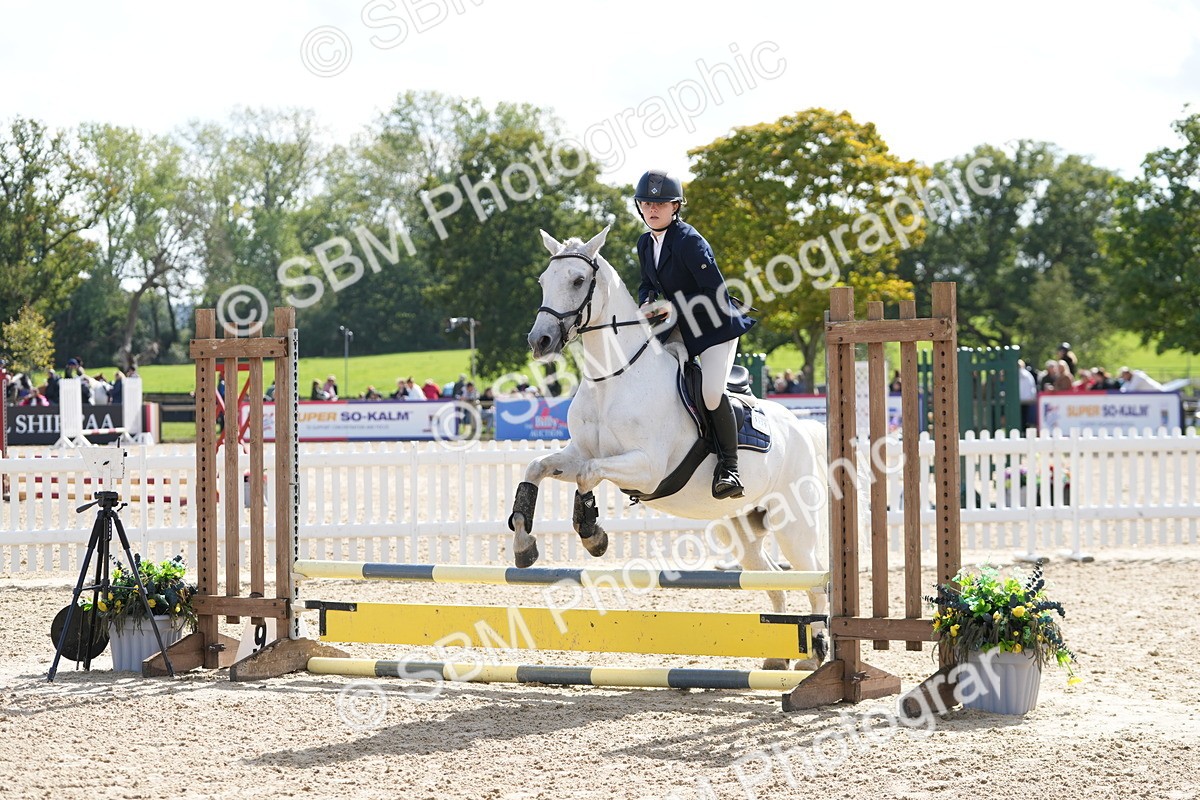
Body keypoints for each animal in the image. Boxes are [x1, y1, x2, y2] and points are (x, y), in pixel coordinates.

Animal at [507, 226, 831, 669]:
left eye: (577, 280)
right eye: (543, 281)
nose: (540, 341)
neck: (613, 378)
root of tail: (800, 426)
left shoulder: (647, 468)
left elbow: (590, 475)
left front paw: (593, 535)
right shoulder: (577, 453)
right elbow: (537, 468)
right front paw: (525, 545)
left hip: (793, 524)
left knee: (814, 580)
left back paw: (816, 654)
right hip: (740, 526)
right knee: (771, 577)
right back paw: (778, 659)